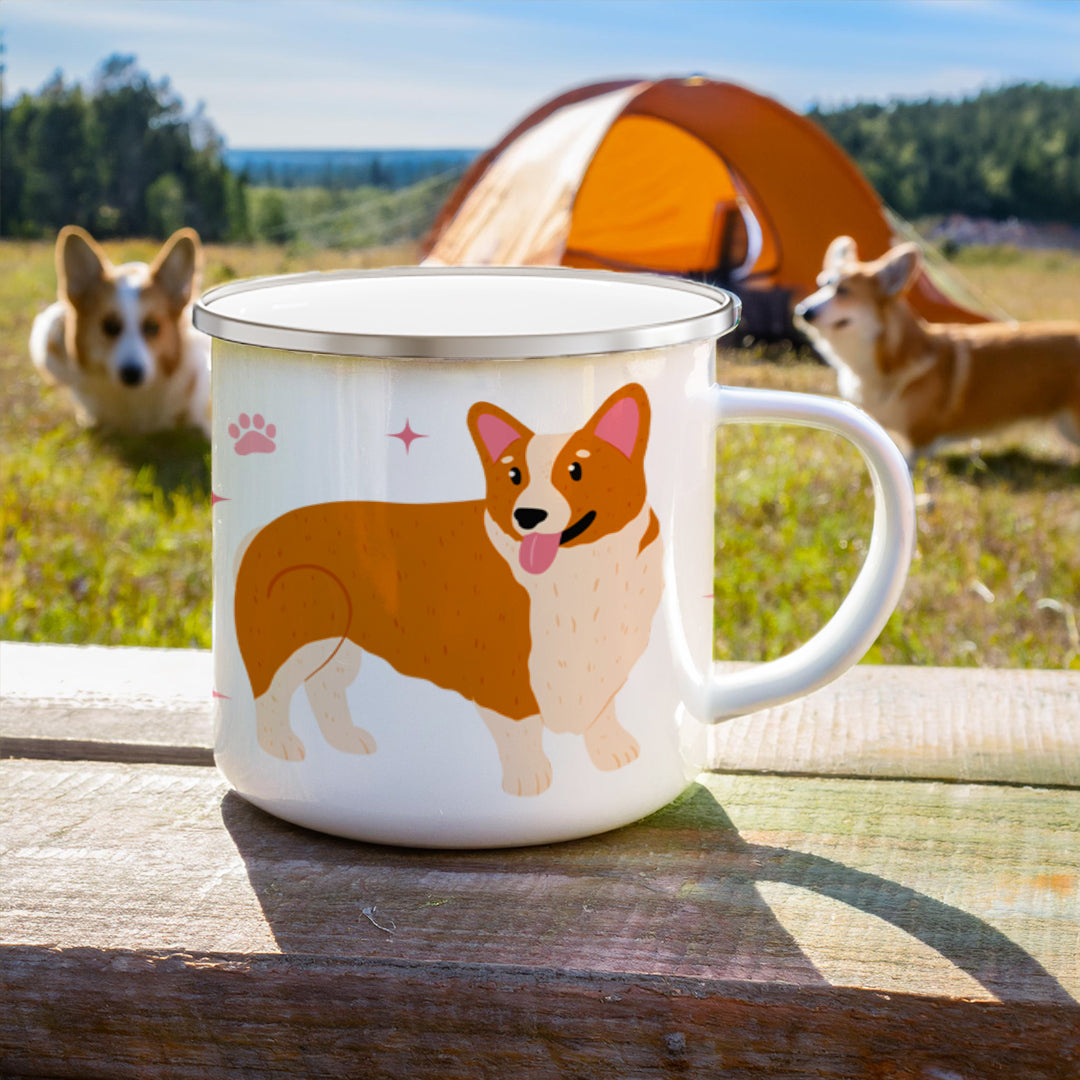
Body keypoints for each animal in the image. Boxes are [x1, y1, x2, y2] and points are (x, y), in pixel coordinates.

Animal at [232, 384, 660, 799]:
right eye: (514, 476)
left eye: (576, 470)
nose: (527, 515)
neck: (579, 571)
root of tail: (259, 533)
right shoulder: (504, 675)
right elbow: (520, 729)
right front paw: (529, 777)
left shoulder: (602, 658)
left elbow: (604, 710)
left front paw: (613, 752)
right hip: (296, 639)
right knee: (269, 692)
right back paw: (279, 745)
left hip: (340, 646)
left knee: (324, 686)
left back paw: (346, 739)